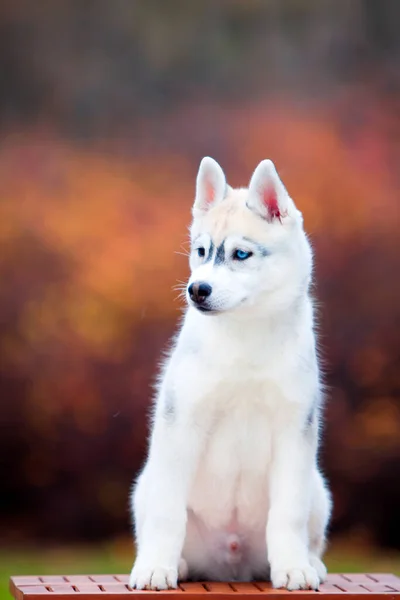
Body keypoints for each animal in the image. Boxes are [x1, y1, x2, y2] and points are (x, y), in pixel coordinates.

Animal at [129, 158, 332, 592]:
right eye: (201, 251)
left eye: (241, 254)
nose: (196, 289)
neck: (245, 337)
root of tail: (231, 566)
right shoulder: (181, 423)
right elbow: (167, 514)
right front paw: (155, 568)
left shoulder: (294, 431)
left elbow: (287, 513)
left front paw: (293, 567)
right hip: (145, 485)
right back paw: (175, 564)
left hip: (318, 488)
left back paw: (310, 562)